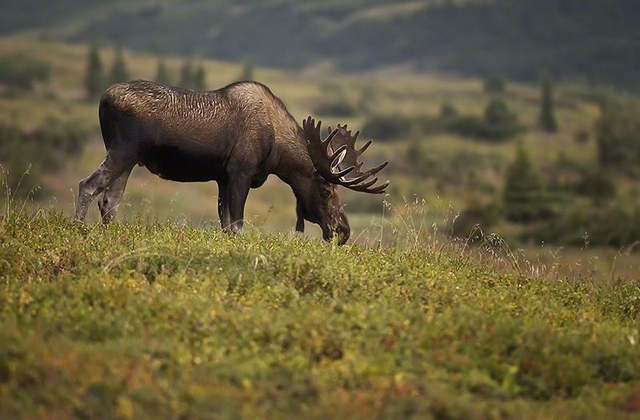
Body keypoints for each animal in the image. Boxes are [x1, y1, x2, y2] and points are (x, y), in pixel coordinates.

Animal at [72, 80, 388, 244]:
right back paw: (77, 229)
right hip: (122, 150)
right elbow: (236, 225)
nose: (343, 231)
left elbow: (225, 224)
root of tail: (102, 99)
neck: (278, 151)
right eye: (326, 191)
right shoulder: (239, 173)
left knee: (109, 199)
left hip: (130, 160)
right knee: (87, 185)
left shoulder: (222, 177)